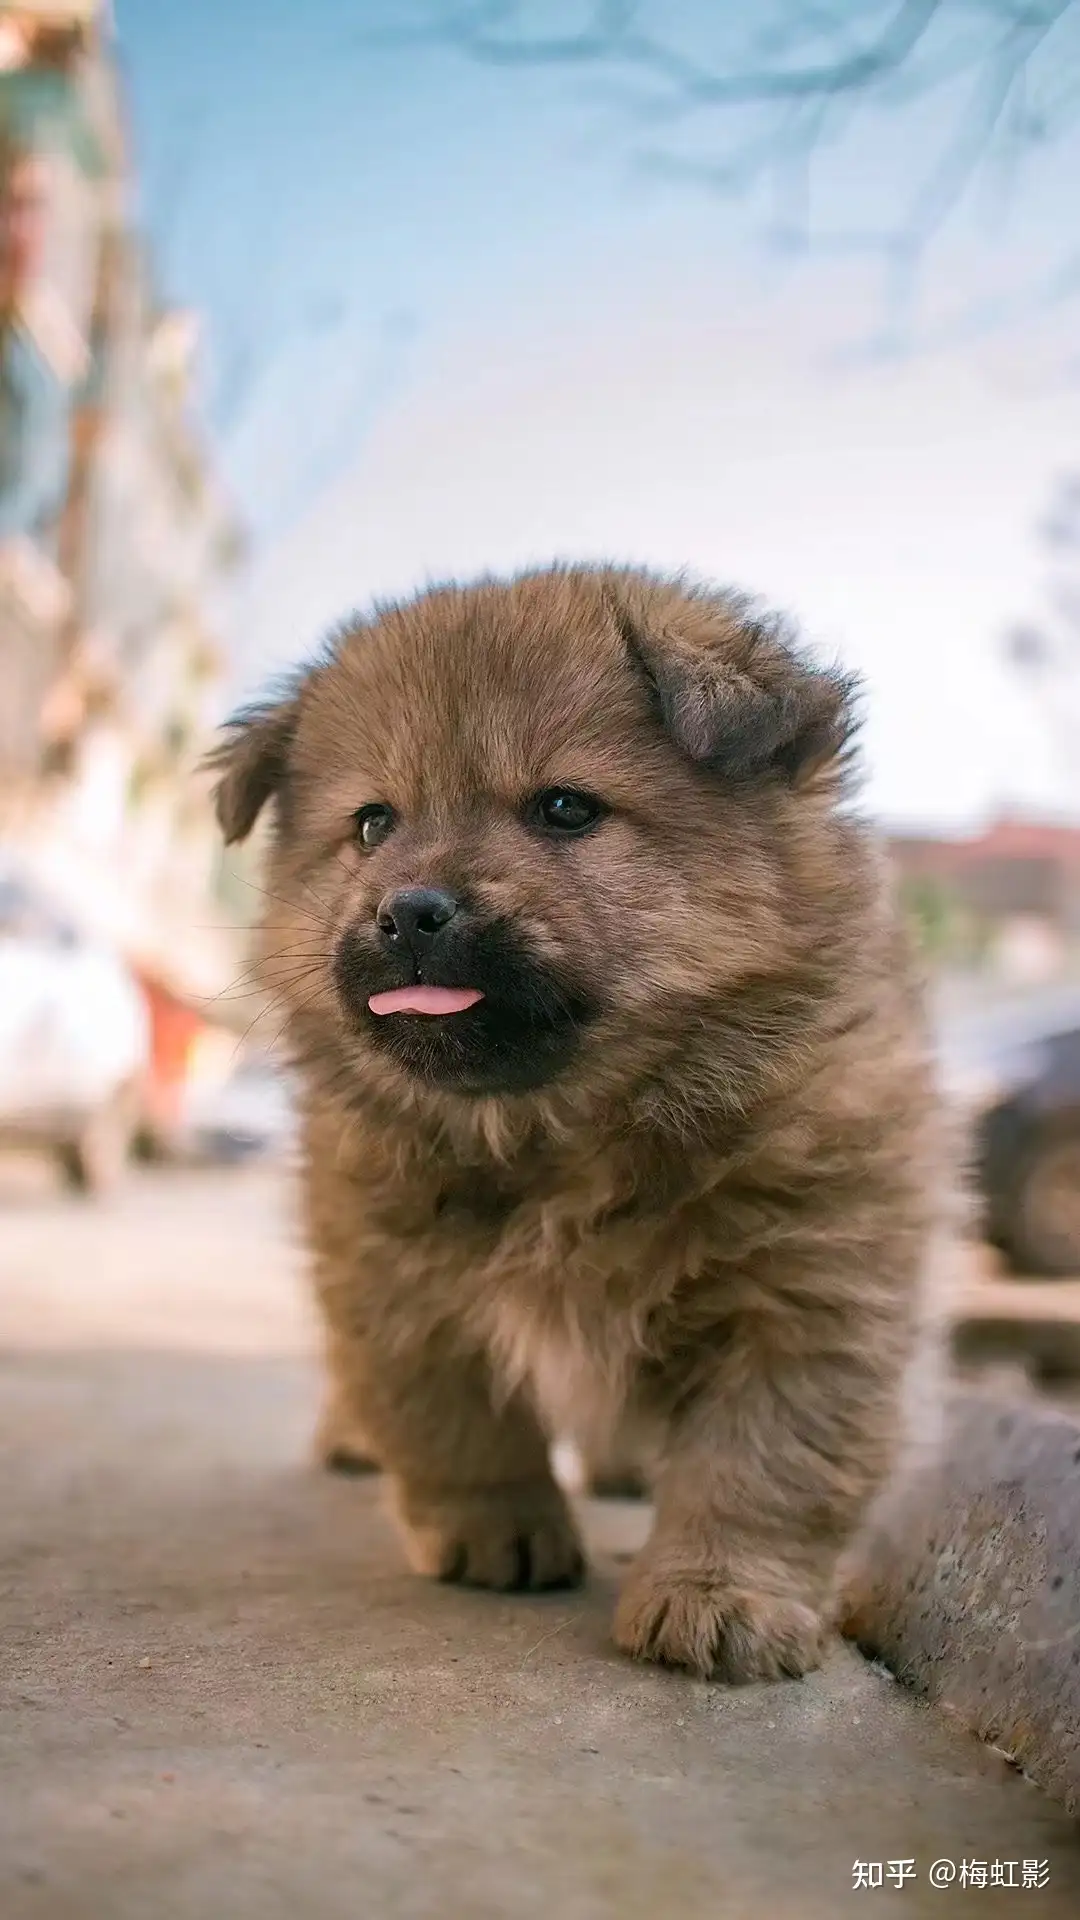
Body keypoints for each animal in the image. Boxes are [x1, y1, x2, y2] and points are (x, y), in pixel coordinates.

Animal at [210, 564, 941, 1681]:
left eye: (564, 809)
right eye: (373, 825)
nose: (409, 910)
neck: (563, 1130)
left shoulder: (810, 1285)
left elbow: (764, 1463)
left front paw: (720, 1594)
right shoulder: (392, 1274)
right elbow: (456, 1422)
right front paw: (494, 1531)